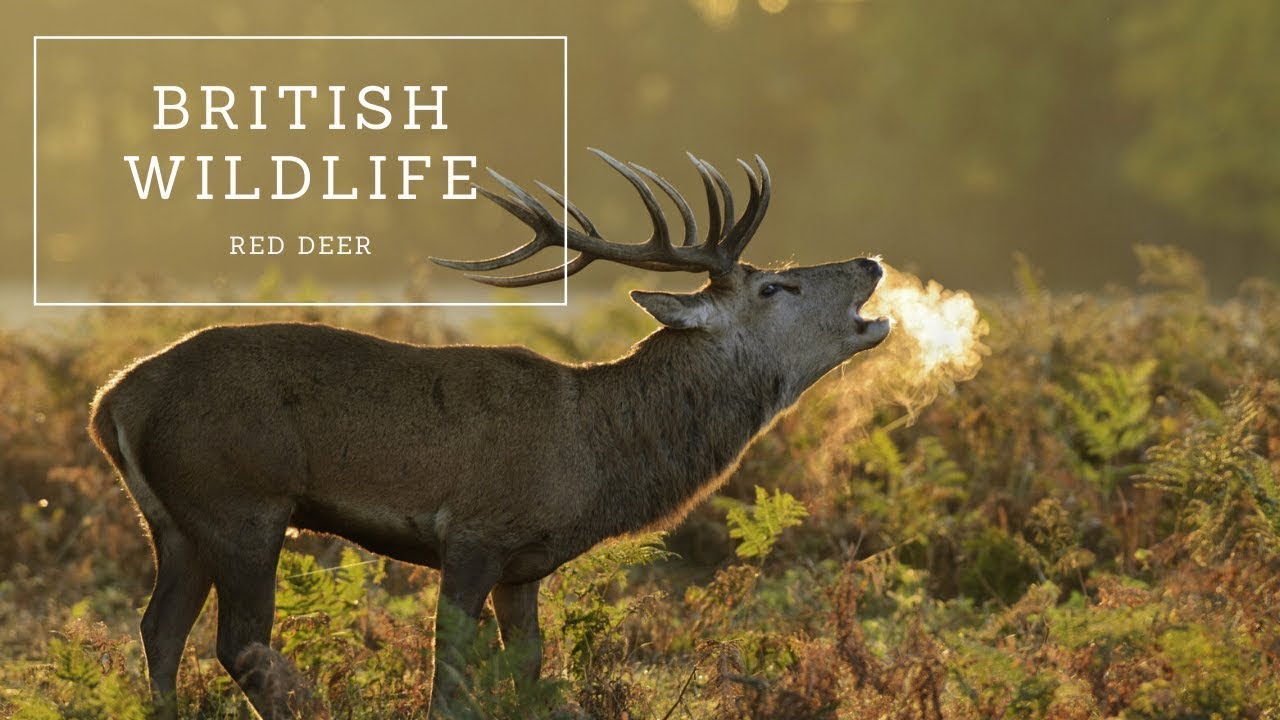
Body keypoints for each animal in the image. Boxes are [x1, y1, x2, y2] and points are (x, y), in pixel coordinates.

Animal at [88, 149, 891, 719]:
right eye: (774, 287)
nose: (869, 259)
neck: (595, 456)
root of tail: (111, 402)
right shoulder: (475, 530)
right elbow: (449, 680)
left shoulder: (525, 566)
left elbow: (529, 675)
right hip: (242, 501)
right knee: (239, 643)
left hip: (176, 521)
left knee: (159, 631)